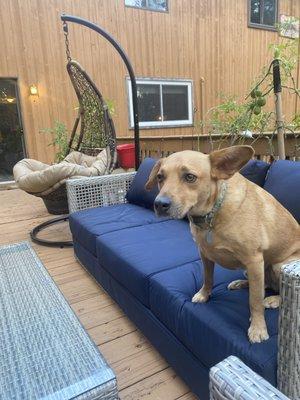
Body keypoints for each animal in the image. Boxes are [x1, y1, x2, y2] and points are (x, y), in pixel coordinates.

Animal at [145, 147, 300, 344]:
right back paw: (241, 283)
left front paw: (258, 328)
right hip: (254, 270)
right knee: (263, 284)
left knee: (269, 289)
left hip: (279, 265)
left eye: (190, 177)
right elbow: (208, 278)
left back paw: (273, 300)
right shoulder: (205, 254)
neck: (211, 214)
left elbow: (255, 301)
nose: (159, 204)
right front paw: (204, 294)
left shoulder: (254, 260)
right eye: (160, 177)